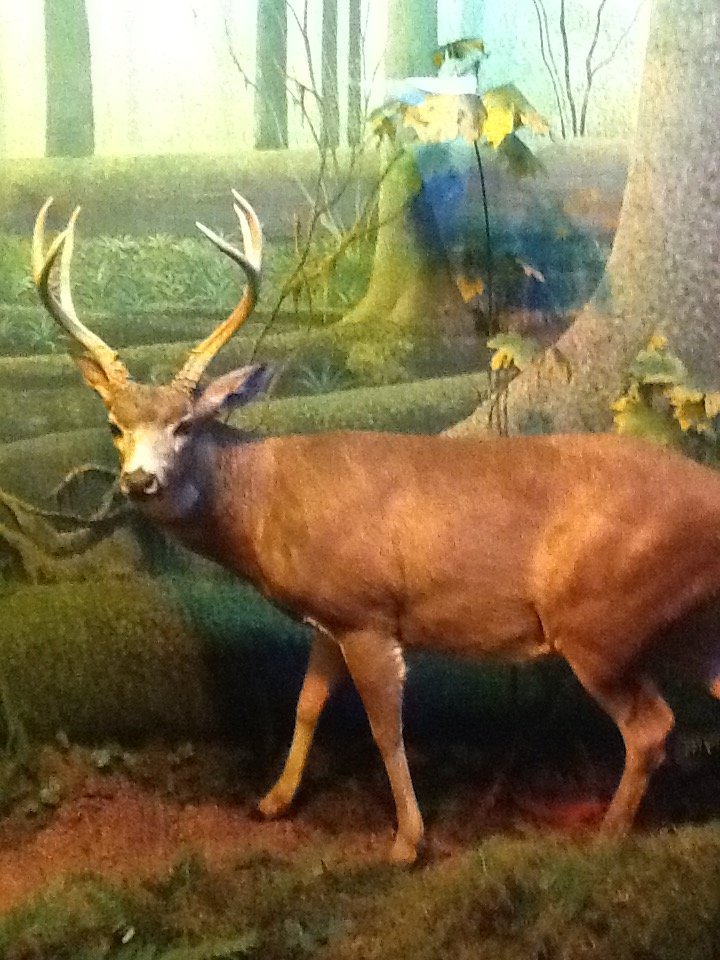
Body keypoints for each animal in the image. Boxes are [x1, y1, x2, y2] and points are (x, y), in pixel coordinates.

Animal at [32, 192, 720, 864]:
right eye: (115, 426)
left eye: (185, 424)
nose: (137, 481)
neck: (268, 499)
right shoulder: (326, 616)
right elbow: (307, 705)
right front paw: (274, 800)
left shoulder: (367, 611)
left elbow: (386, 729)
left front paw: (407, 842)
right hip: (679, 622)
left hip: (598, 619)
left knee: (651, 727)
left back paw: (606, 838)